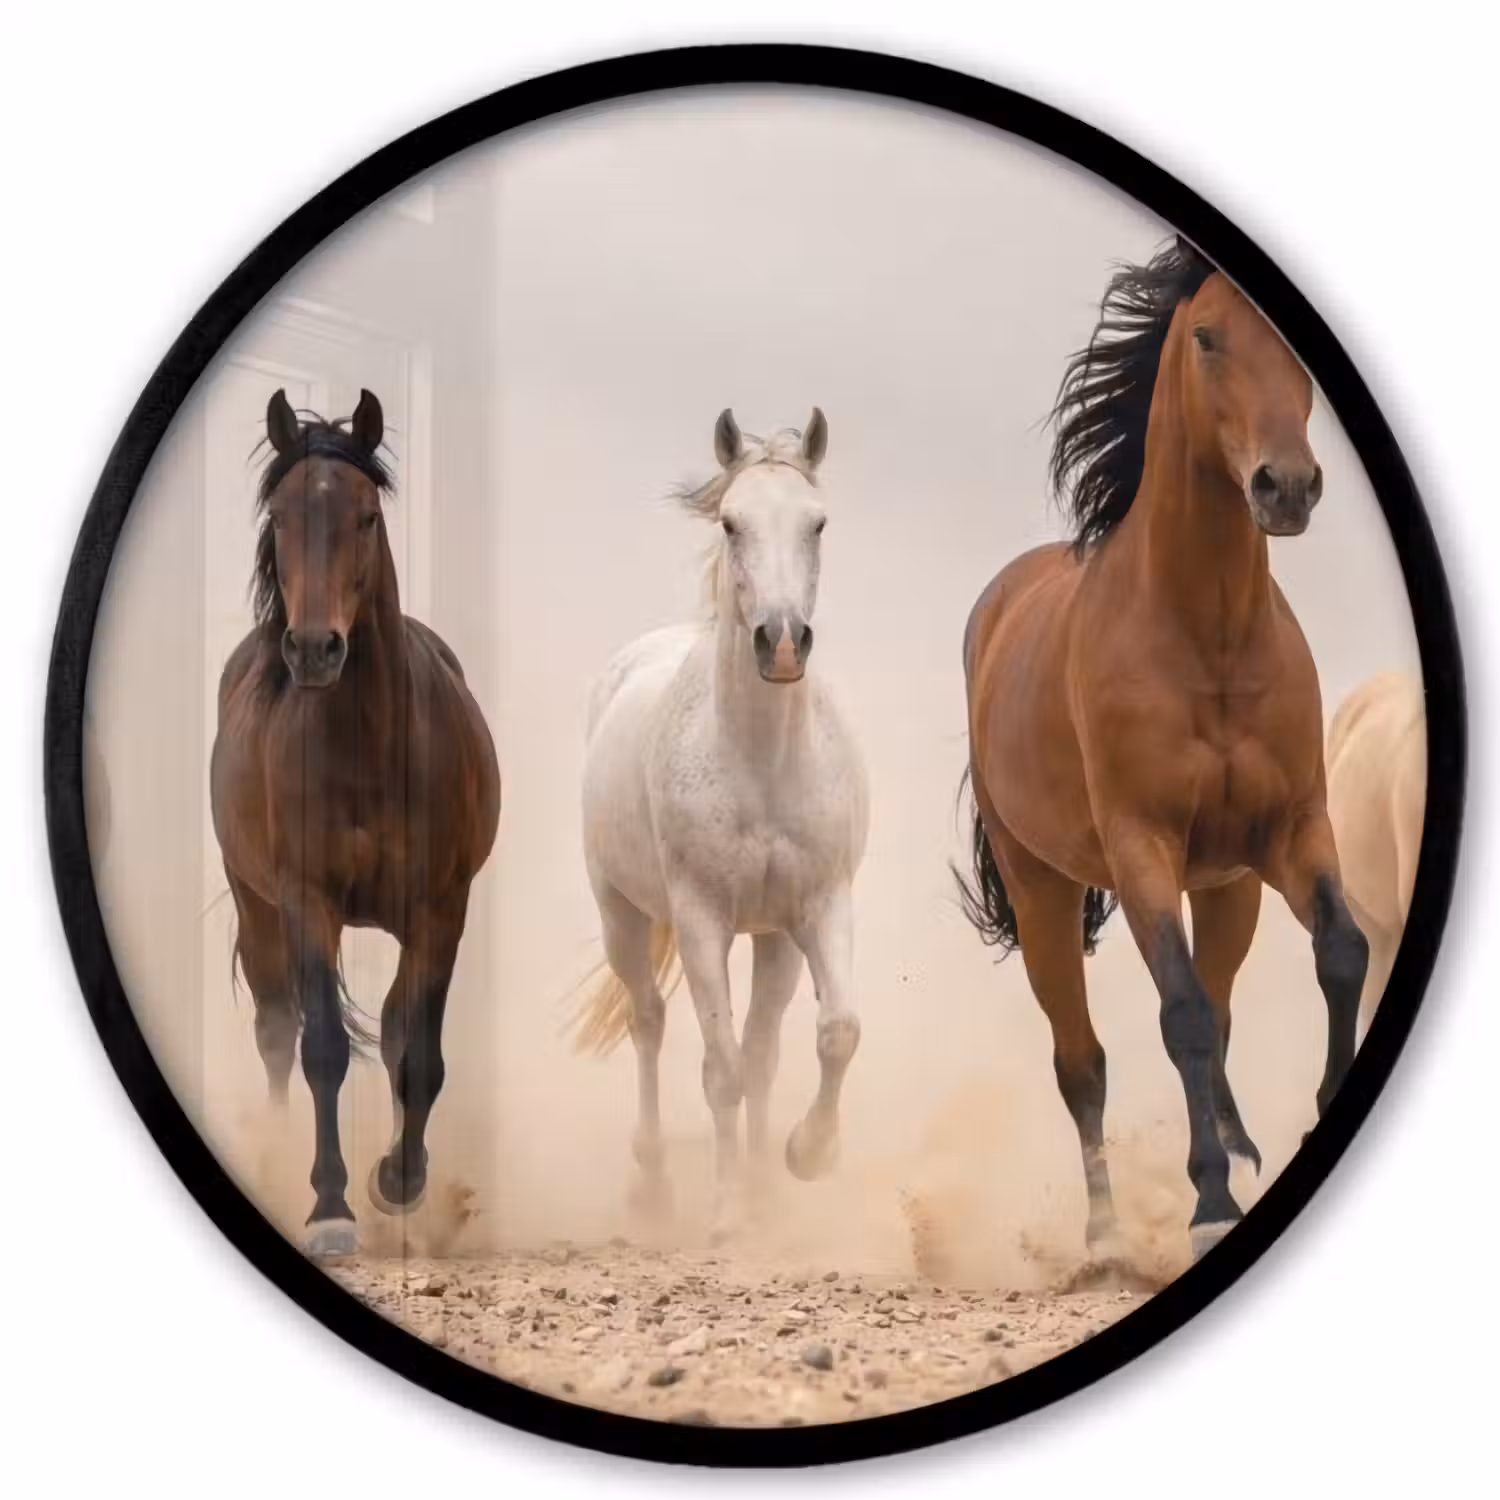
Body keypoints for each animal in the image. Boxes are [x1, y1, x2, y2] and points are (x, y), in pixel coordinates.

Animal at [210, 388, 500, 1256]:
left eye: (367, 516)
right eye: (279, 515)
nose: (313, 649)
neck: (372, 747)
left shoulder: (441, 911)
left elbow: (419, 1053)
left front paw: (399, 1181)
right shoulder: (307, 904)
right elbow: (324, 1051)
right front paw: (330, 1206)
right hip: (257, 908)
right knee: (278, 1031)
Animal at [571, 409, 868, 1238]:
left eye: (818, 522)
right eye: (733, 523)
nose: (783, 642)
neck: (761, 761)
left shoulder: (815, 909)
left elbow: (833, 1034)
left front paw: (803, 1159)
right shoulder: (702, 919)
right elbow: (723, 1067)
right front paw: (730, 1212)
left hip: (769, 940)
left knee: (763, 1048)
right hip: (622, 915)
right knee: (648, 1021)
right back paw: (653, 1188)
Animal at [958, 238, 1369, 1262]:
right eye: (1209, 338)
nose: (1286, 488)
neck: (1208, 637)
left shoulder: (1290, 831)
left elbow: (1340, 953)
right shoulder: (1140, 846)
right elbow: (1176, 1013)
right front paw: (1208, 1202)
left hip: (1226, 888)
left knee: (1219, 1009)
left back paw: (1243, 1146)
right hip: (1044, 890)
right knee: (1082, 1061)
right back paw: (1107, 1236)